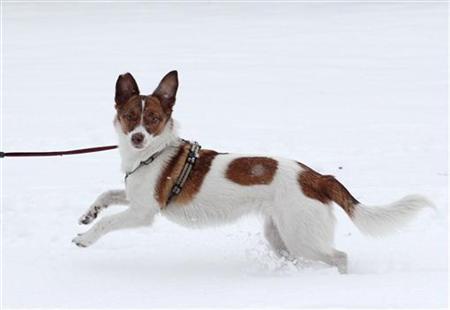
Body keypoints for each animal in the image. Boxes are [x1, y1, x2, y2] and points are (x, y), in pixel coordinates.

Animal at [73, 71, 432, 274]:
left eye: (153, 120)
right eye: (130, 117)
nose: (137, 138)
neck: (152, 154)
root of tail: (317, 178)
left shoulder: (143, 212)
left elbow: (108, 223)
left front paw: (85, 238)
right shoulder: (133, 198)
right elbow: (107, 195)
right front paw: (88, 214)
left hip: (301, 235)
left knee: (340, 257)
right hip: (281, 235)